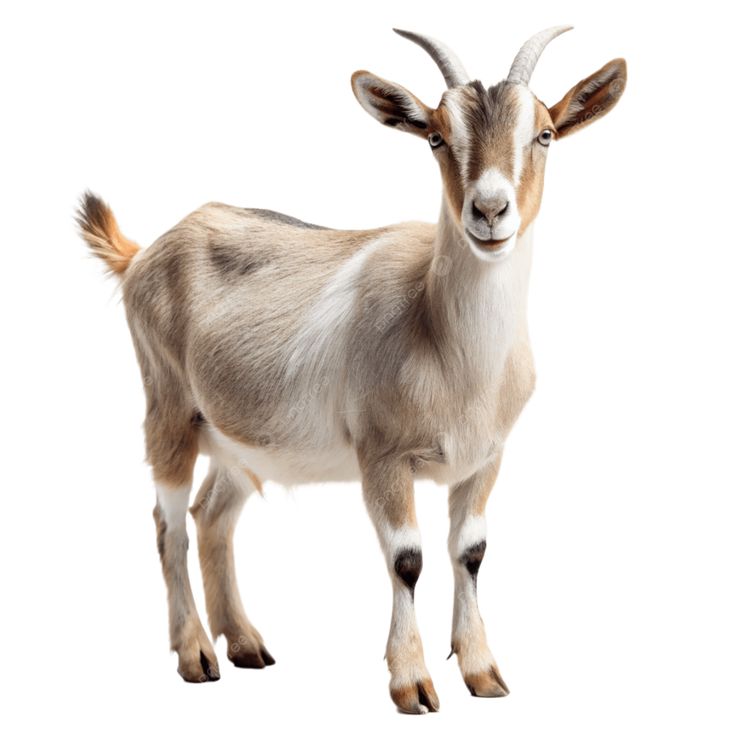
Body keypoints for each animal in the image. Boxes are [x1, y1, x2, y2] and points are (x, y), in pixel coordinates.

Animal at [77, 26, 626, 714]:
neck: (443, 340)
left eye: (546, 133)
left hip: (239, 440)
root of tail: (142, 253)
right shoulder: (382, 455)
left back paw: (246, 644)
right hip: (168, 409)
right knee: (167, 524)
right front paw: (412, 683)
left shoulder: (486, 458)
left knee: (212, 516)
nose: (490, 211)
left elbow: (471, 552)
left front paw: (483, 673)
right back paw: (197, 655)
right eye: (436, 136)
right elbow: (407, 558)